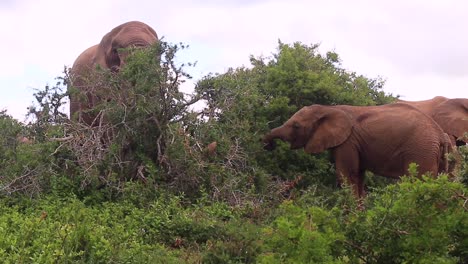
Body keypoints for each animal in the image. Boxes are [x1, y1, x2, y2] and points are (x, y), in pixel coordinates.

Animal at [264, 103, 454, 198]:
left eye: (296, 126)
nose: (267, 145)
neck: (330, 108)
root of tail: (440, 135)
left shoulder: (348, 141)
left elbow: (347, 175)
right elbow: (358, 177)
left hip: (421, 151)